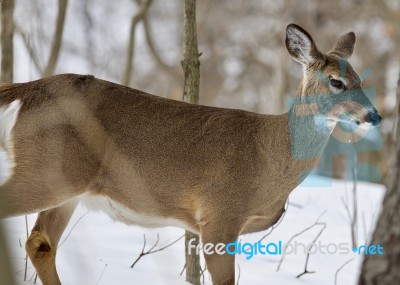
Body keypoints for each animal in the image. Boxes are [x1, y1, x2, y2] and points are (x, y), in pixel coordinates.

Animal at [0, 24, 382, 284]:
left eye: (361, 79)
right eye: (336, 81)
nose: (375, 116)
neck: (269, 155)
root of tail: (28, 89)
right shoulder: (220, 214)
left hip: (69, 185)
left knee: (40, 242)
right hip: (50, 173)